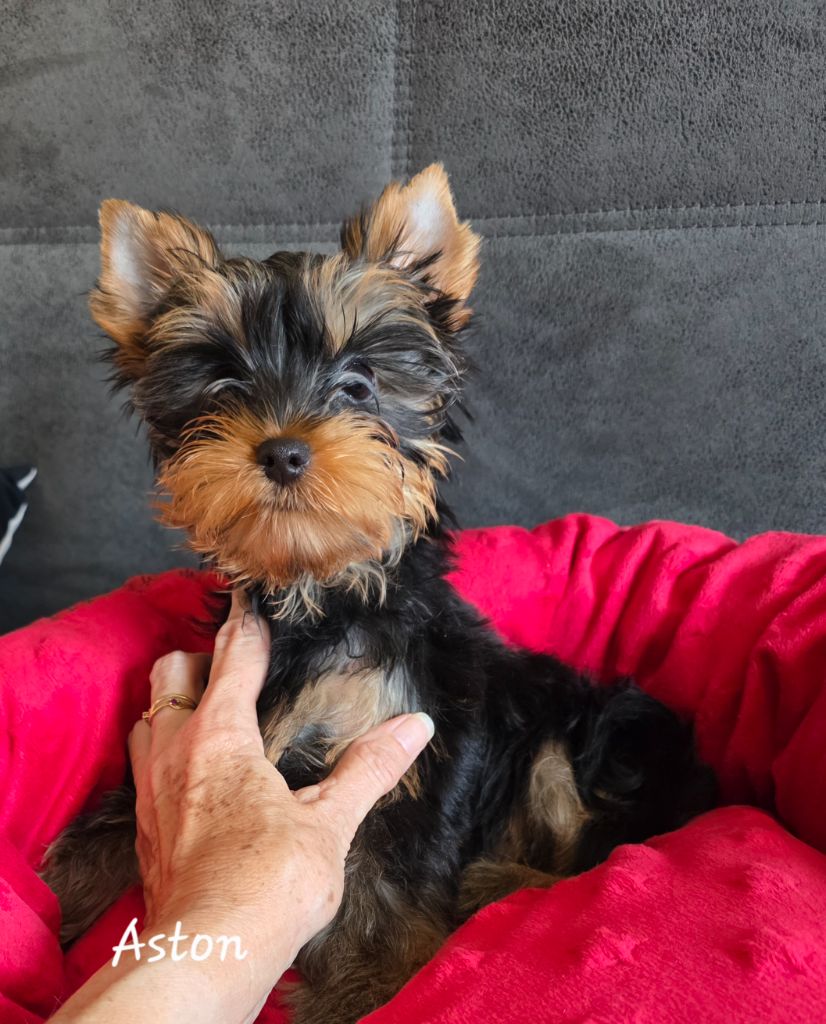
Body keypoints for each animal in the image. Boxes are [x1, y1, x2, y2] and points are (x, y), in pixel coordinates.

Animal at [42, 164, 716, 1023]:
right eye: (223, 385)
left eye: (359, 385)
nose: (284, 450)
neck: (320, 592)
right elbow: (114, 824)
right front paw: (50, 898)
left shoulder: (420, 736)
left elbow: (391, 879)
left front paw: (363, 986)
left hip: (585, 729)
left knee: (593, 843)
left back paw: (497, 883)